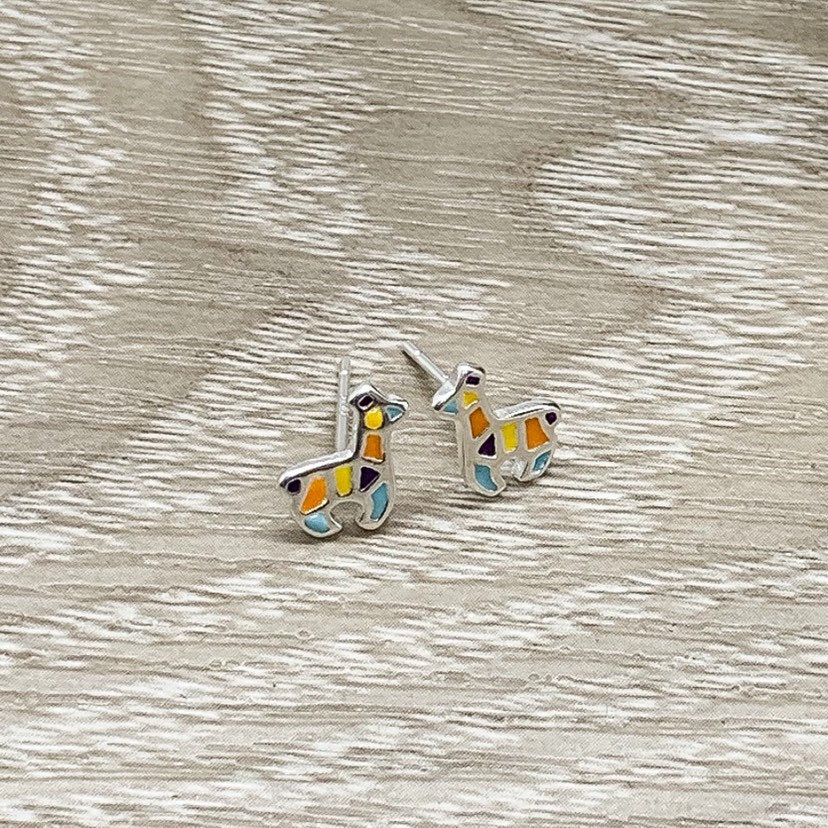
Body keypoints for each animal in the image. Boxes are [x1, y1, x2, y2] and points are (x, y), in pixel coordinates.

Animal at [278, 383, 408, 537]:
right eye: (381, 403)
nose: (404, 404)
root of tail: (290, 483)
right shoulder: (377, 488)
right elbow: (377, 509)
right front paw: (365, 522)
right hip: (313, 504)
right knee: (304, 515)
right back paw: (333, 528)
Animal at [431, 363, 561, 496]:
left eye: (455, 396)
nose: (436, 405)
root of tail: (552, 413)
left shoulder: (485, 463)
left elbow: (485, 480)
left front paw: (496, 488)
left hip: (539, 446)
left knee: (543, 452)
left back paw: (527, 474)